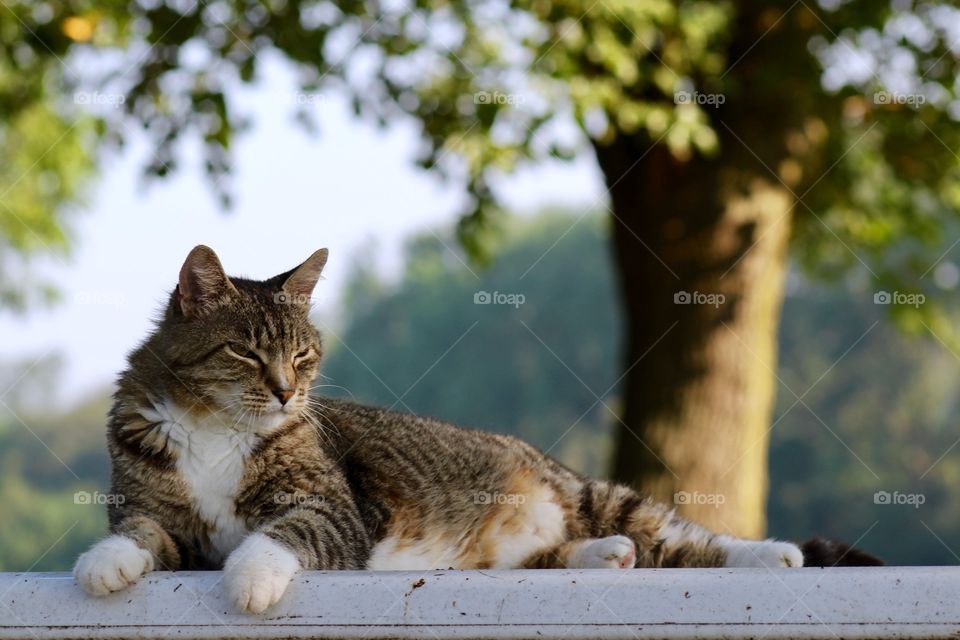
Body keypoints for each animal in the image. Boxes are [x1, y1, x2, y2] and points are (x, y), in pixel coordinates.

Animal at [75, 246, 808, 616]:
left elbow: (283, 532)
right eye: (247, 354)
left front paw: (250, 579)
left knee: (681, 537)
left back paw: (770, 555)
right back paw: (604, 555)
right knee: (567, 554)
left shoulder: (334, 507)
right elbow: (141, 531)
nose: (287, 392)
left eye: (303, 355)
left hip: (596, 494)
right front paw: (105, 563)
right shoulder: (158, 513)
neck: (217, 425)